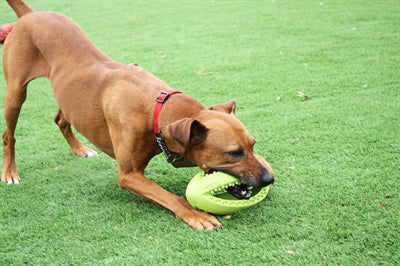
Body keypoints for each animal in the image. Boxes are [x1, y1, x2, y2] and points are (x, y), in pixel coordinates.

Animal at [1, 0, 274, 230]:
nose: (269, 178)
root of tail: (30, 14)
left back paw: (80, 149)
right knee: (8, 135)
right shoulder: (129, 175)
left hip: (68, 97)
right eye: (234, 153)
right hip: (15, 94)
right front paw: (195, 215)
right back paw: (10, 173)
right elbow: (171, 197)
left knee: (60, 118)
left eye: (252, 145)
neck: (156, 108)